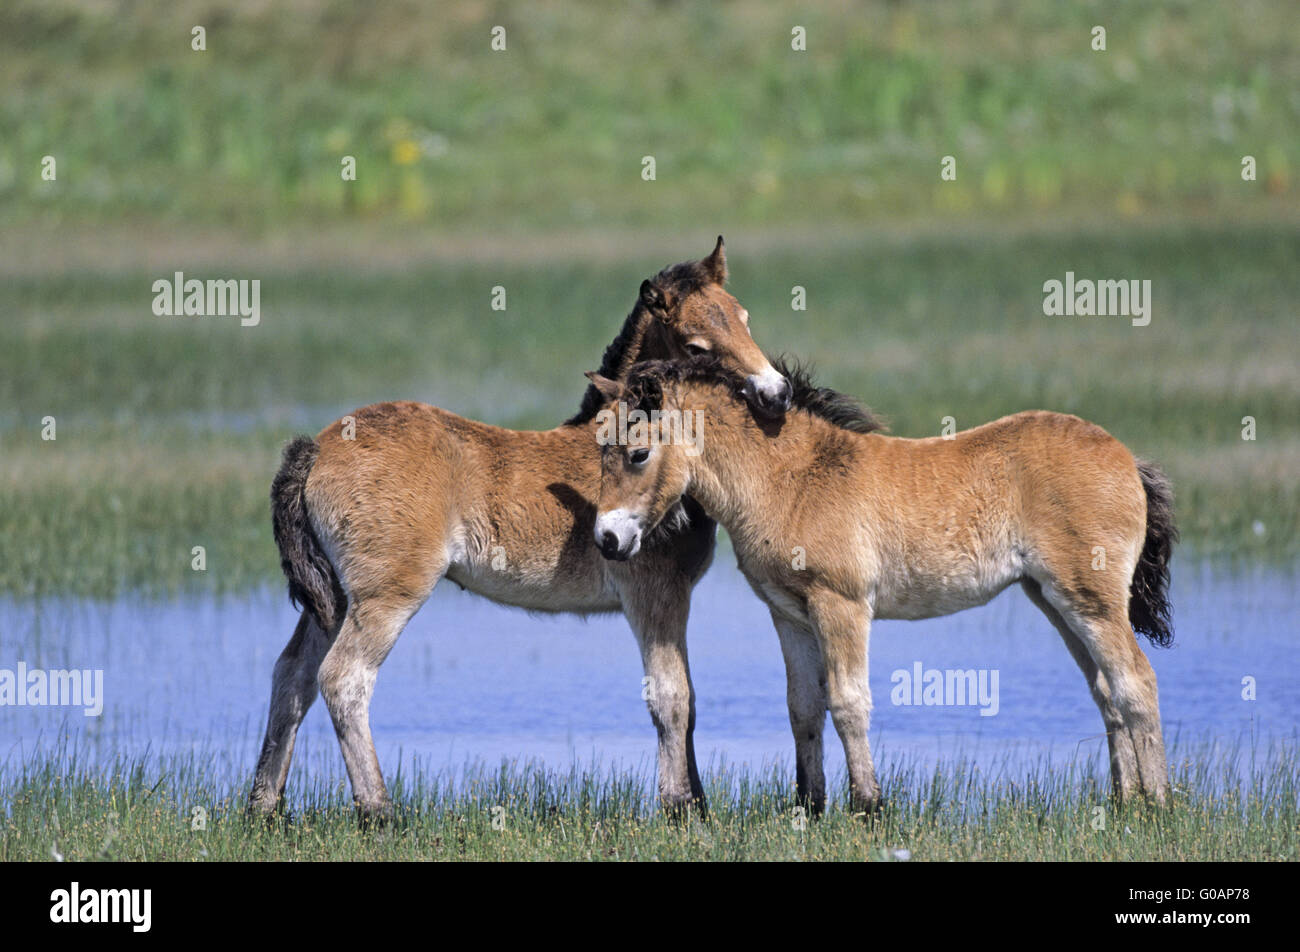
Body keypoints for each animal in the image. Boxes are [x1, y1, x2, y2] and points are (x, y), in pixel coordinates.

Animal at [247, 238, 792, 821]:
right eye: (695, 347)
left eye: (744, 318)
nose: (778, 394)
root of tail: (316, 447)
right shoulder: (653, 592)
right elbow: (671, 698)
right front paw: (678, 809)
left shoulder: (675, 596)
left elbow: (688, 700)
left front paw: (698, 804)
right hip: (386, 593)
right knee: (344, 679)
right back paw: (379, 812)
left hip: (332, 598)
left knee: (292, 676)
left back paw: (264, 807)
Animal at [586, 357, 1177, 814]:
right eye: (600, 452)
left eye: (639, 453)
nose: (607, 540)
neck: (791, 480)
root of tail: (1128, 459)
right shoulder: (788, 612)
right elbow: (803, 706)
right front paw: (810, 808)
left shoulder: (841, 605)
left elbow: (848, 703)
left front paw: (868, 806)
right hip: (1053, 599)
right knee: (1105, 689)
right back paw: (1124, 802)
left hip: (1091, 599)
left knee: (1136, 680)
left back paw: (1157, 806)